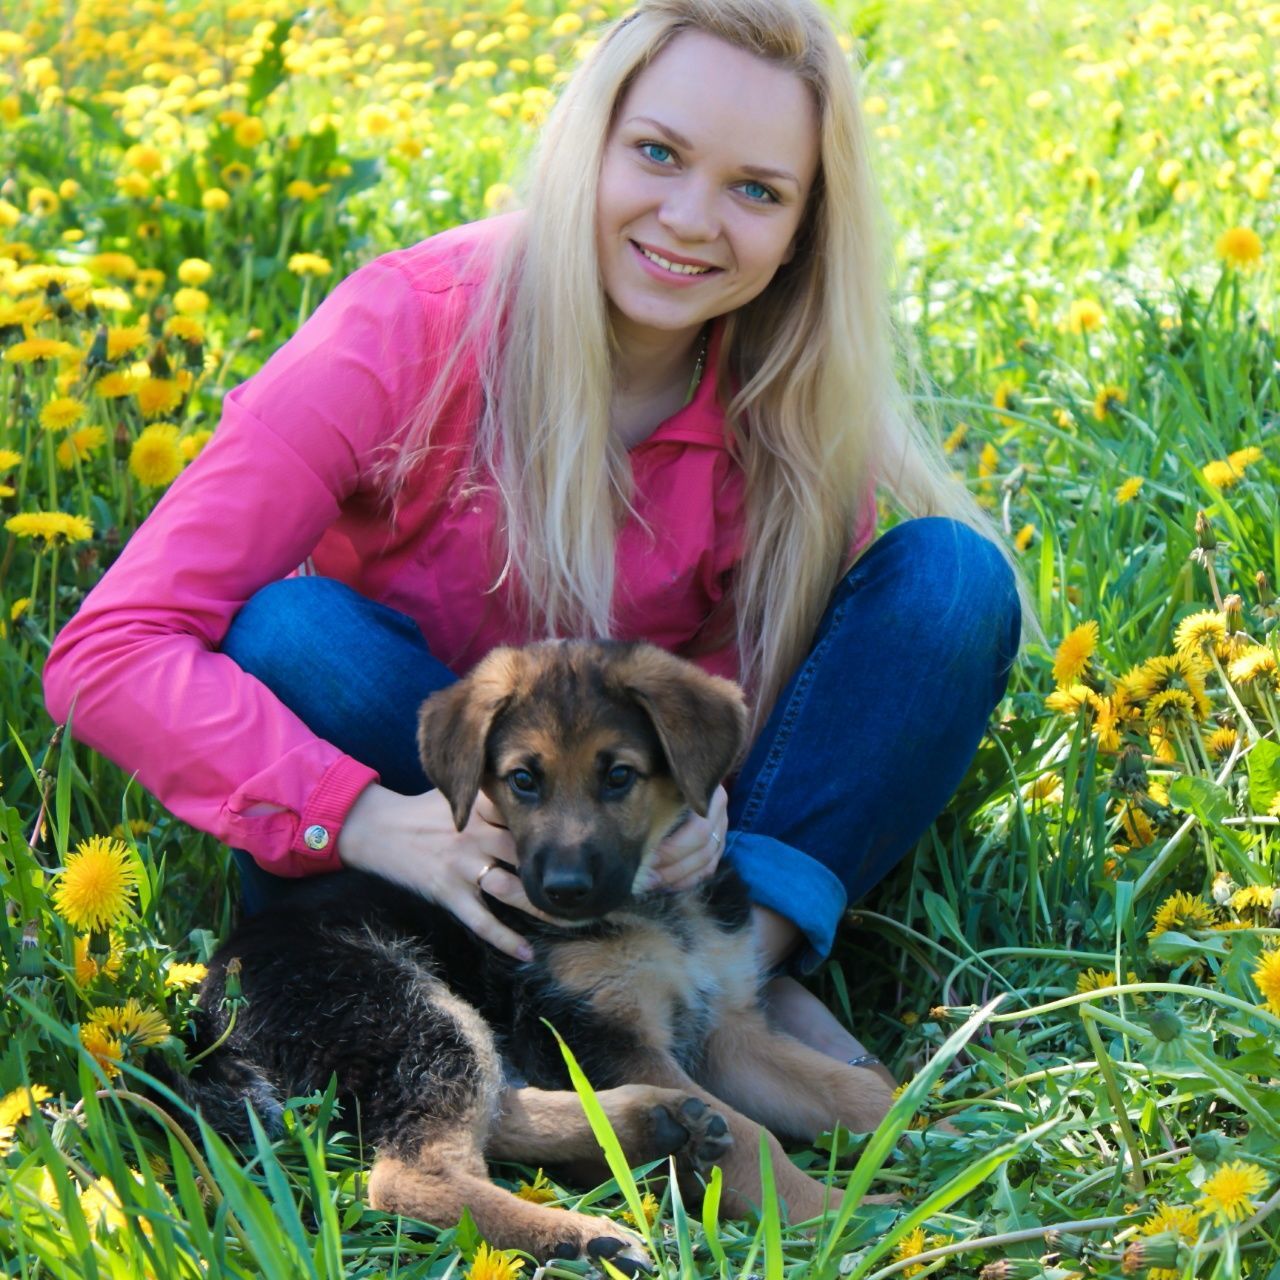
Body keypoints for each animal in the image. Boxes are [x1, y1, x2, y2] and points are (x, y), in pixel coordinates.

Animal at [186, 645, 890, 1264]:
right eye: (523, 781)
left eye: (619, 776)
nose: (562, 891)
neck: (653, 908)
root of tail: (214, 1001)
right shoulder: (596, 1028)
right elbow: (752, 1136)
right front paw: (842, 1218)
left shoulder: (726, 1028)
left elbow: (848, 1088)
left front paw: (912, 1123)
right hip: (399, 1004)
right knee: (408, 1174)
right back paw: (583, 1234)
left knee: (493, 1109)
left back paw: (650, 1122)